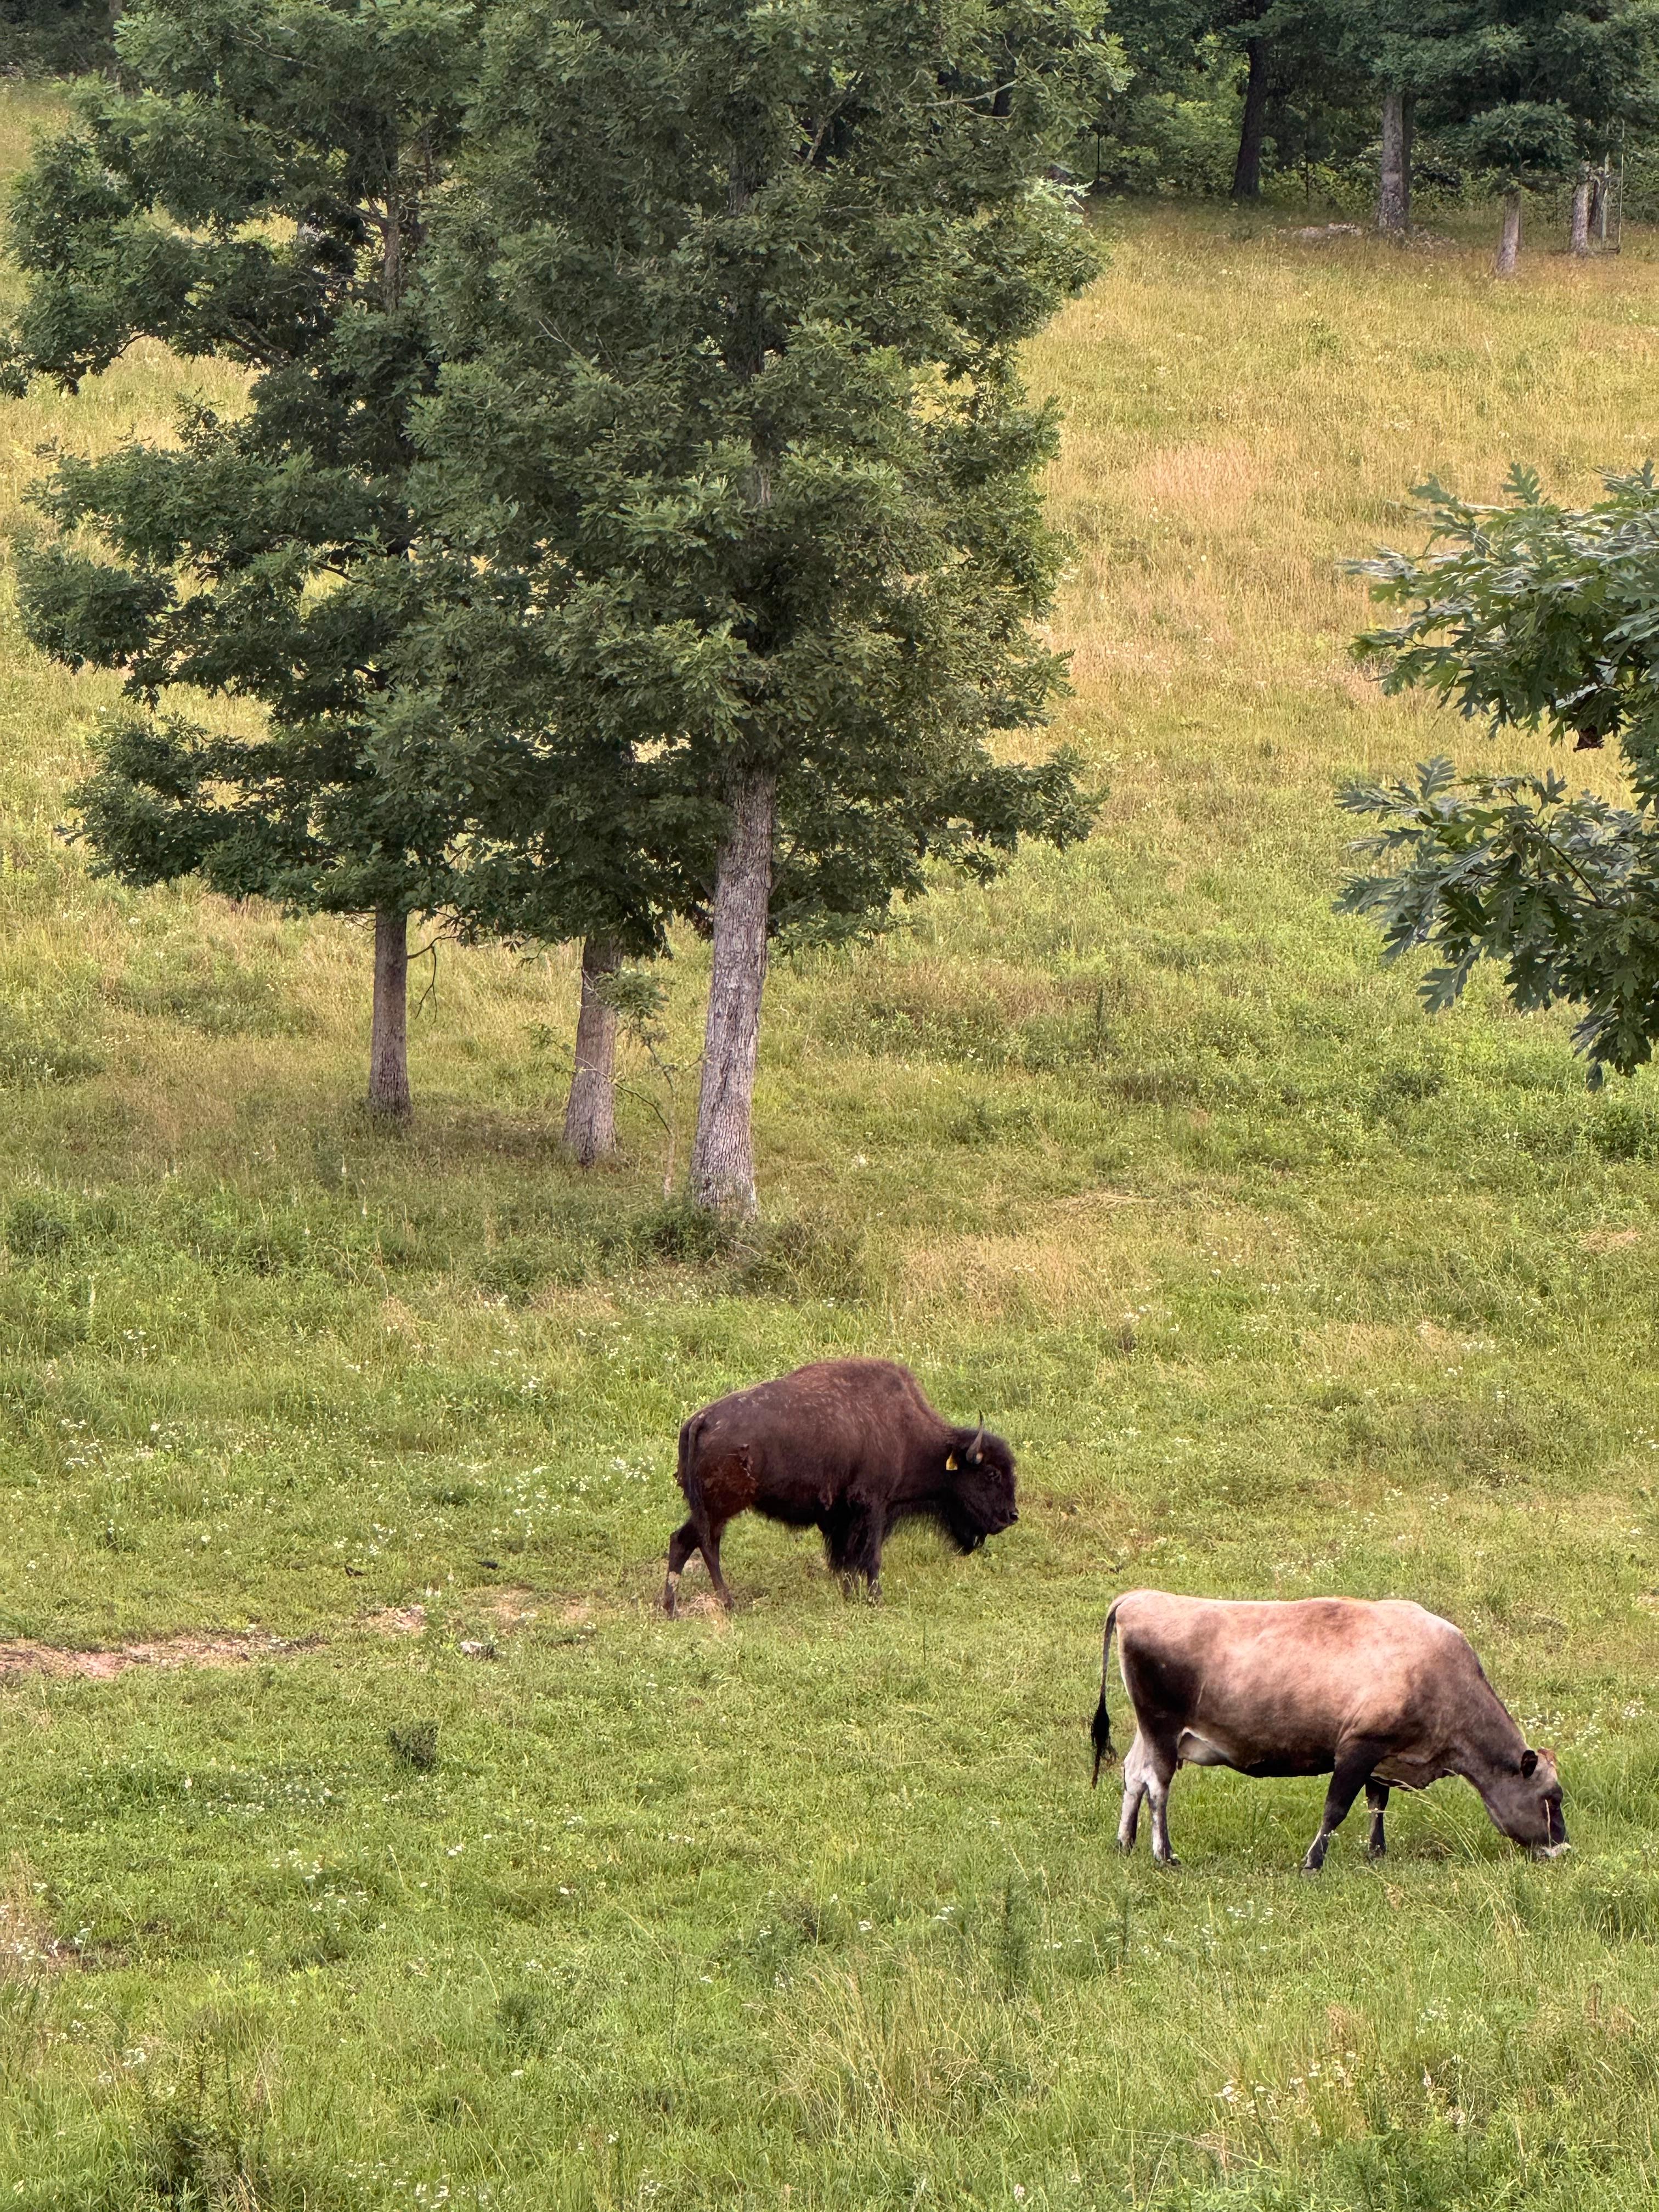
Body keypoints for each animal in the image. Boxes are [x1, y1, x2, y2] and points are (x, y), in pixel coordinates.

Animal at [663, 1358, 1017, 1614]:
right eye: (991, 1474)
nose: (1011, 1516)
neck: (906, 1433)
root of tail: (701, 1419)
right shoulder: (874, 1506)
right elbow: (870, 1556)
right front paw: (875, 1599)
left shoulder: (846, 1515)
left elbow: (848, 1558)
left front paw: (851, 1595)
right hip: (722, 1507)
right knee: (708, 1545)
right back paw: (727, 1603)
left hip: (707, 1507)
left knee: (682, 1540)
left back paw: (670, 1608)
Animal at [1092, 1590, 1568, 1871]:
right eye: (1552, 1798)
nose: (1564, 1848)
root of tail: (1139, 1597)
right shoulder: (1359, 1745)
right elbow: (1336, 1808)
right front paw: (1313, 1862)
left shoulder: (1385, 1753)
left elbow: (1377, 1804)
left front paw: (1377, 1853)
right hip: (1163, 1726)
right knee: (1158, 1784)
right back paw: (1164, 1854)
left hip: (1148, 1730)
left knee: (1133, 1775)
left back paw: (1124, 1843)